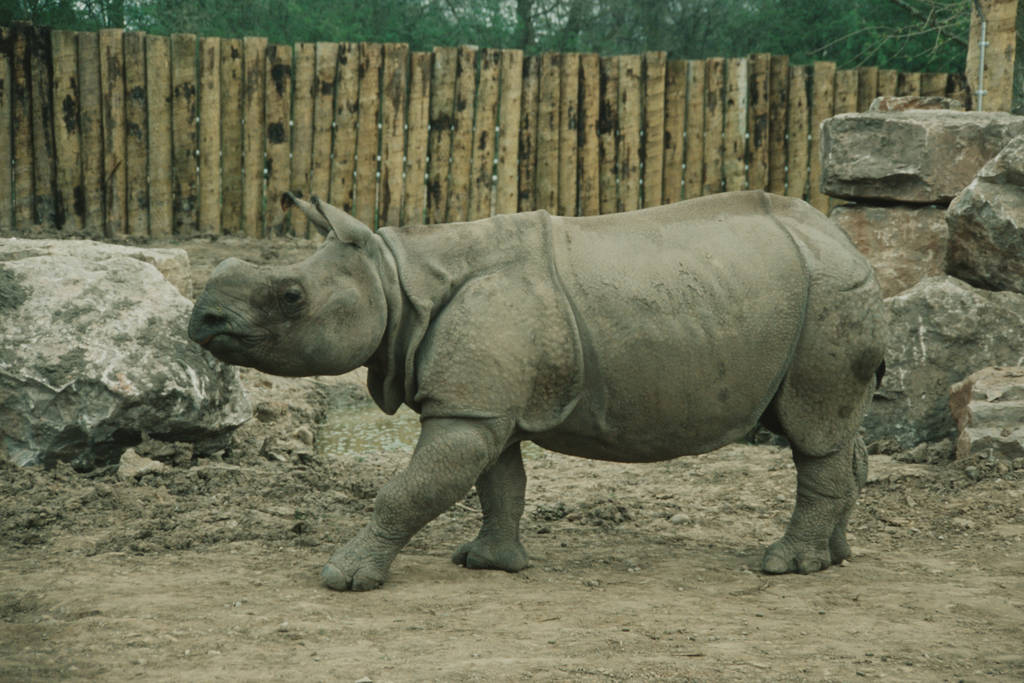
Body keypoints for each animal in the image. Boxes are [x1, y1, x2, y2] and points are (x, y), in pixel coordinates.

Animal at [188, 190, 888, 591]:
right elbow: (499, 483)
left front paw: (343, 577)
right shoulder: (484, 405)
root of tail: (848, 242)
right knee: (830, 431)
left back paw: (785, 568)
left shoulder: (469, 409)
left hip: (827, 294)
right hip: (810, 294)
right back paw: (836, 557)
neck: (393, 277)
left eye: (290, 296)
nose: (202, 320)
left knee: (814, 430)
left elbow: (411, 489)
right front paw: (488, 564)